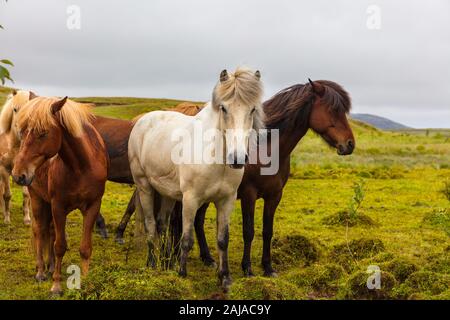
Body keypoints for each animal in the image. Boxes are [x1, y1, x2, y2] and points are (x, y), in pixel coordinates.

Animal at [0, 90, 34, 225]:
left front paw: (27, 219)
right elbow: (7, 195)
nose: (22, 131)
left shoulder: (24, 172)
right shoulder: (3, 170)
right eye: (15, 109)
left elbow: (26, 195)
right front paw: (6, 219)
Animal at [12, 96, 109, 294]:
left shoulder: (93, 206)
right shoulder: (58, 206)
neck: (81, 167)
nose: (18, 175)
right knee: (39, 231)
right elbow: (59, 246)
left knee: (49, 231)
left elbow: (85, 247)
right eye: (23, 132)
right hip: (38, 200)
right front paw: (56, 285)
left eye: (43, 133)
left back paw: (49, 267)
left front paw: (85, 281)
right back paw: (41, 271)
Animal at [127, 67, 264, 288]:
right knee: (150, 224)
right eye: (223, 108)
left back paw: (167, 264)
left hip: (167, 193)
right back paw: (153, 263)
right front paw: (182, 274)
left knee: (162, 223)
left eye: (252, 110)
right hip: (144, 186)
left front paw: (225, 277)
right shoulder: (191, 200)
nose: (237, 158)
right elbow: (187, 239)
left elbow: (222, 239)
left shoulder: (227, 200)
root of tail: (143, 120)